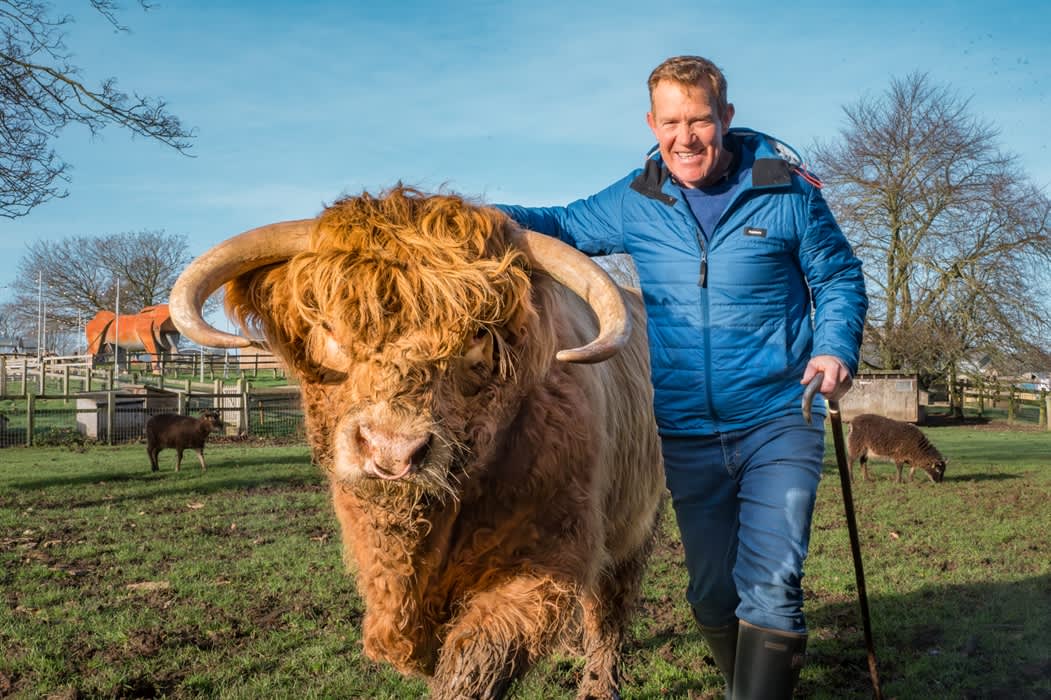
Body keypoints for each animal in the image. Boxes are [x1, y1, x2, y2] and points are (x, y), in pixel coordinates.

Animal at [168, 186, 665, 699]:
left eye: (478, 335)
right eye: (328, 326)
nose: (392, 451)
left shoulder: (545, 553)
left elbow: (475, 660)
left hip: (638, 516)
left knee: (608, 604)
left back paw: (598, 683)